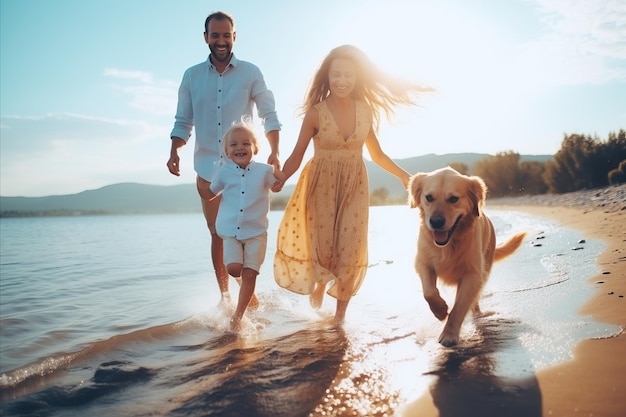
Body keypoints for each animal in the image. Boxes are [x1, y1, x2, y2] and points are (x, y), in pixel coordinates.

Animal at [408, 167, 524, 346]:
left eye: (453, 199)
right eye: (429, 197)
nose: (436, 222)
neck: (449, 244)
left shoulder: (472, 274)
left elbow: (459, 306)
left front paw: (449, 334)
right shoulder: (423, 263)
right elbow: (429, 292)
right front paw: (440, 311)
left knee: (474, 299)